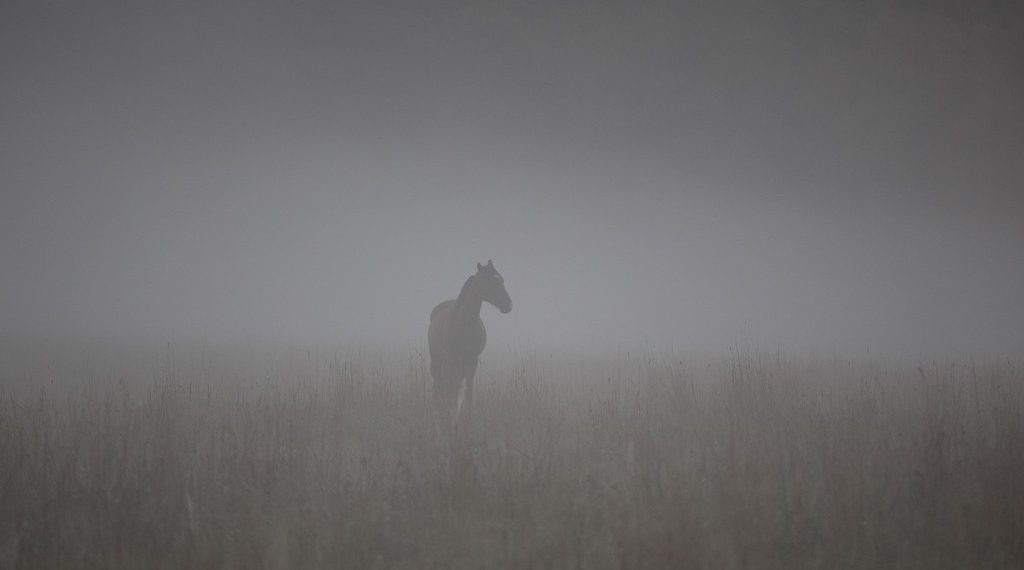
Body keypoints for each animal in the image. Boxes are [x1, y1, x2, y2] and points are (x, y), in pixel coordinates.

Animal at [428, 260, 512, 440]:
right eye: (491, 281)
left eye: (501, 280)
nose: (508, 305)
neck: (464, 323)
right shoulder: (451, 360)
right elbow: (451, 392)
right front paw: (449, 425)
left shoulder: (472, 361)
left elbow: (468, 393)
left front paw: (466, 424)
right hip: (437, 361)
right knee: (439, 388)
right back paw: (438, 421)